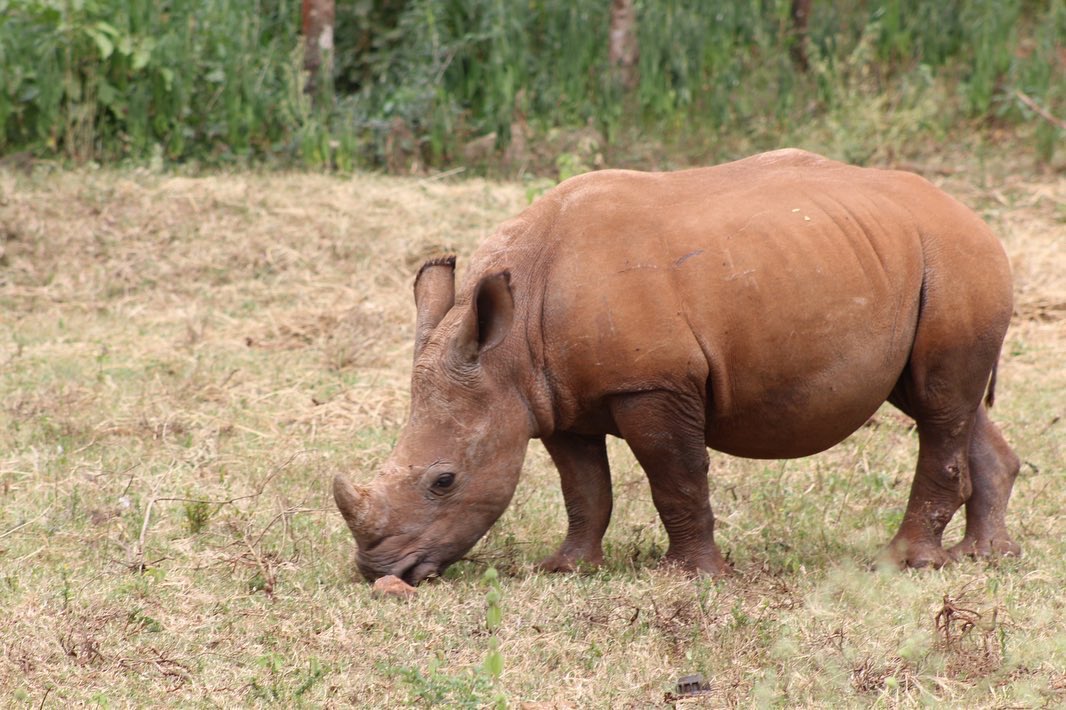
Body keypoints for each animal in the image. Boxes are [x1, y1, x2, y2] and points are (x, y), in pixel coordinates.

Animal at [334, 149, 1019, 585]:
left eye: (443, 481)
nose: (377, 572)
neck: (510, 345)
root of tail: (973, 215)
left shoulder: (652, 383)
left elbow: (676, 478)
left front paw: (692, 577)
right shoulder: (552, 397)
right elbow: (584, 487)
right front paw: (566, 569)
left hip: (954, 261)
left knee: (939, 405)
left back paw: (905, 563)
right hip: (905, 262)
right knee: (943, 403)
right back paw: (985, 557)